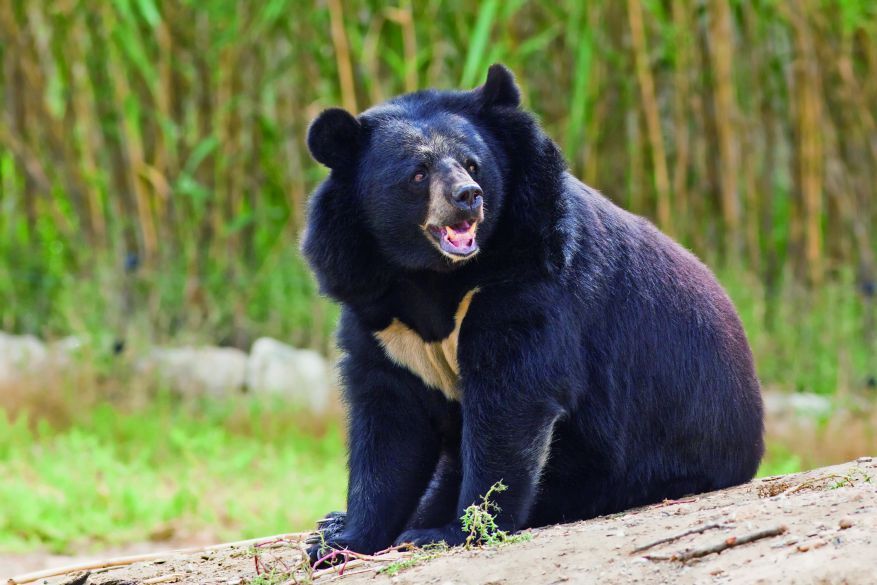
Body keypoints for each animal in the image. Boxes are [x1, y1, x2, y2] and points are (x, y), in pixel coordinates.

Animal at [301, 64, 764, 562]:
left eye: (472, 164)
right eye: (418, 173)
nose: (468, 196)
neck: (432, 276)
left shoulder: (530, 283)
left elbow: (512, 402)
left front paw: (452, 531)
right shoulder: (378, 315)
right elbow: (389, 425)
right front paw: (341, 542)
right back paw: (330, 522)